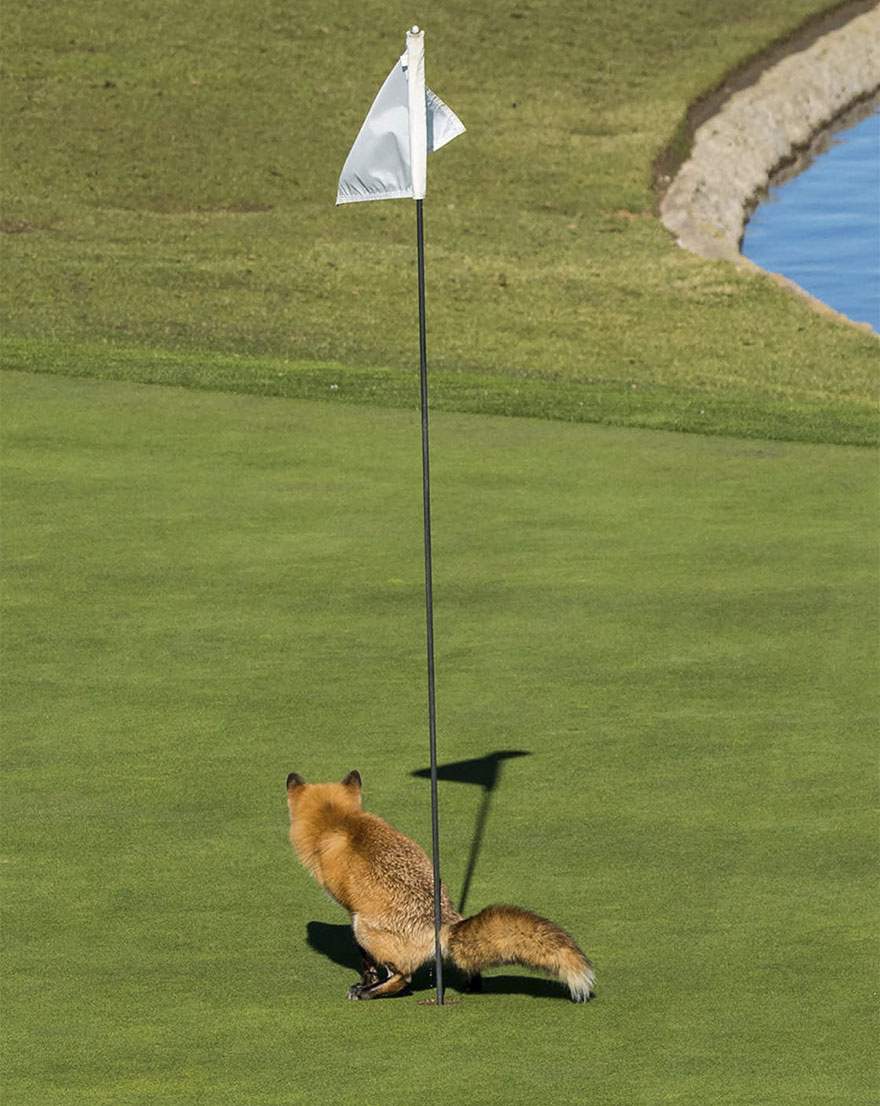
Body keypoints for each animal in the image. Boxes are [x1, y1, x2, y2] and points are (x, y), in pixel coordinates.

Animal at [285, 769, 595, 1002]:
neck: (340, 821)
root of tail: (444, 925)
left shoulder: (352, 913)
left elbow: (366, 961)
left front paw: (365, 983)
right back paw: (472, 984)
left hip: (365, 928)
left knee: (403, 977)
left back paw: (370, 993)